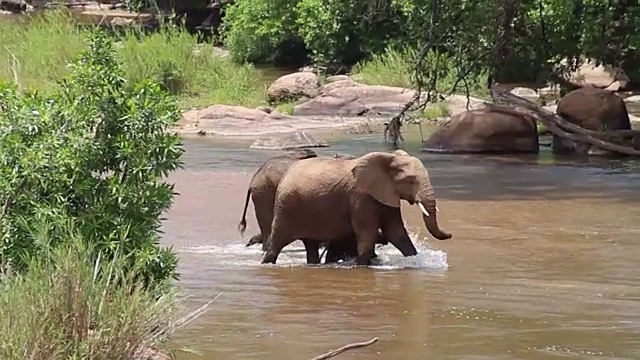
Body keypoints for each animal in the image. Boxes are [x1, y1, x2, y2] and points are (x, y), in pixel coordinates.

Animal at [260, 149, 450, 264]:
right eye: (410, 180)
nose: (450, 234)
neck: (388, 158)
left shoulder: (386, 193)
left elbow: (396, 233)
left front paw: (414, 261)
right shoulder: (360, 196)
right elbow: (367, 233)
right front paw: (362, 266)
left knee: (310, 245)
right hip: (286, 206)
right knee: (277, 243)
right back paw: (267, 263)